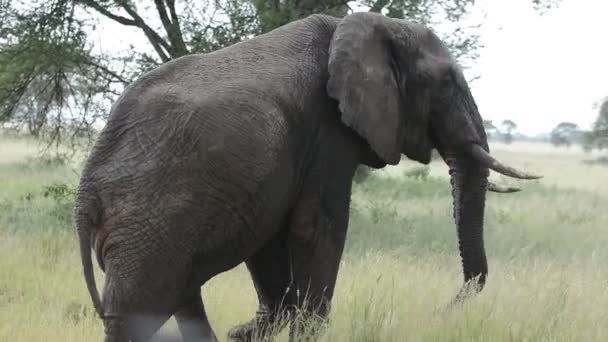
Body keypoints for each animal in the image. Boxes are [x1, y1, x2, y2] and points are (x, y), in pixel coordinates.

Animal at [73, 11, 540, 342]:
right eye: (446, 82)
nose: (440, 311)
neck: (370, 25)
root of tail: (84, 194)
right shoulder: (328, 130)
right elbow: (315, 228)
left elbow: (272, 235)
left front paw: (246, 332)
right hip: (149, 222)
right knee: (140, 312)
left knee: (179, 298)